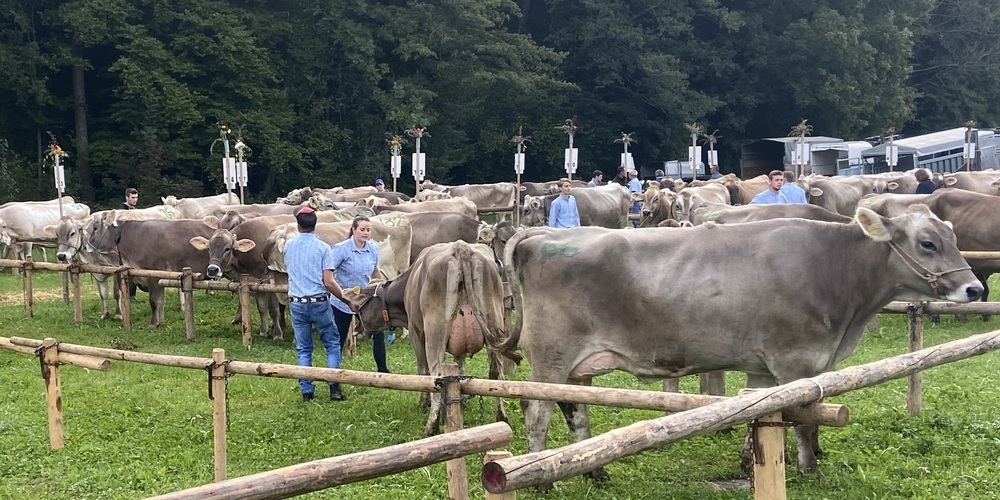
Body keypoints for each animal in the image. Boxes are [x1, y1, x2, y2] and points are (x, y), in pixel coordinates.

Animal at [342, 241, 521, 436]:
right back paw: (502, 417)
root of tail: (461, 248)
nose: (356, 331)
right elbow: (460, 368)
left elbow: (423, 370)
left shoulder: (416, 333)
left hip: (434, 334)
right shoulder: (459, 348)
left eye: (359, 310)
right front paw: (462, 400)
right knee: (496, 373)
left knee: (437, 375)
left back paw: (431, 426)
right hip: (494, 325)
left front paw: (424, 402)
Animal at [500, 206, 982, 485]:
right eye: (927, 243)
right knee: (537, 409)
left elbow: (765, 415)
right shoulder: (795, 360)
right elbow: (803, 421)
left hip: (578, 365)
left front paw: (754, 464)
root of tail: (538, 235)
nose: (976, 288)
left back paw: (596, 472)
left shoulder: (766, 366)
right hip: (550, 355)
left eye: (955, 239)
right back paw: (542, 478)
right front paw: (809, 468)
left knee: (575, 410)